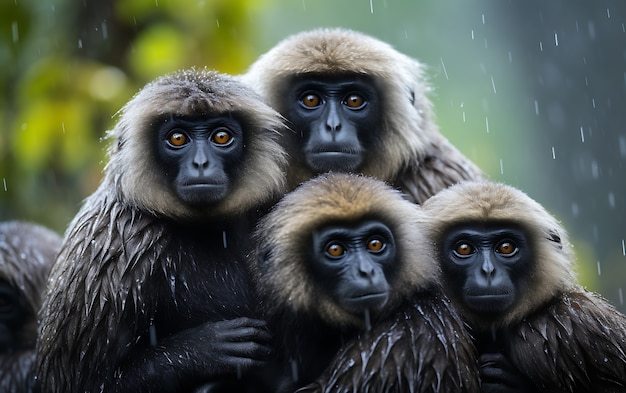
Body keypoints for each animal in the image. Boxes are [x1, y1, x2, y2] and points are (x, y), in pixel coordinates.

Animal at [34, 68, 288, 392]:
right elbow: (77, 383)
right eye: (177, 138)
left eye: (221, 137)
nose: (201, 163)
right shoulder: (116, 248)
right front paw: (199, 351)